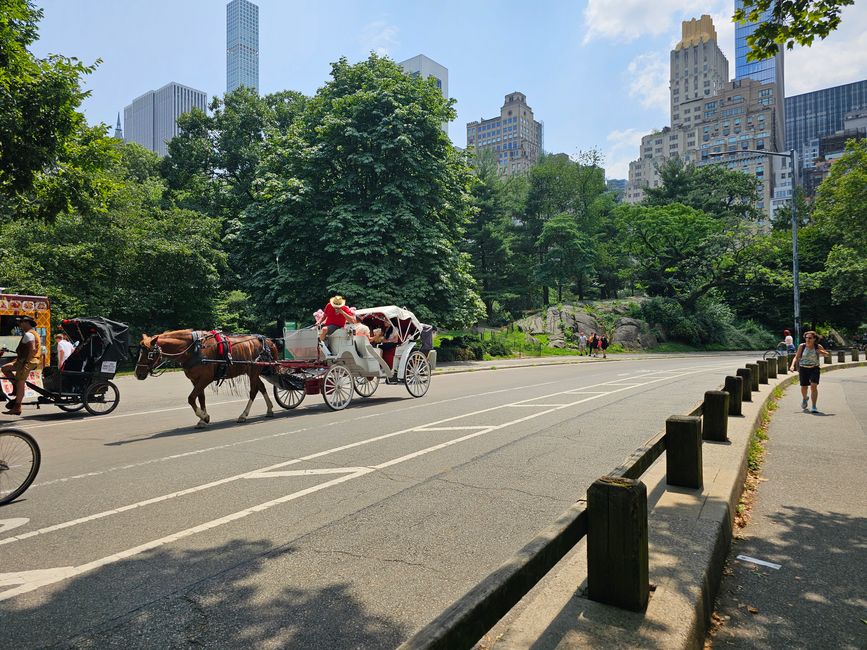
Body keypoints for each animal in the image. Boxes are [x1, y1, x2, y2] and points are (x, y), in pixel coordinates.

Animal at [136, 330, 278, 426]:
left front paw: (203, 416)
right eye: (140, 352)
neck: (194, 349)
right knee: (261, 387)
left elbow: (191, 398)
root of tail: (264, 340)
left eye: (150, 354)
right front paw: (202, 420)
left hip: (253, 371)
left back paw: (244, 415)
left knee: (253, 391)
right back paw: (269, 409)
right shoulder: (195, 380)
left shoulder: (206, 378)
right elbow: (200, 398)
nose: (138, 374)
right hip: (252, 371)